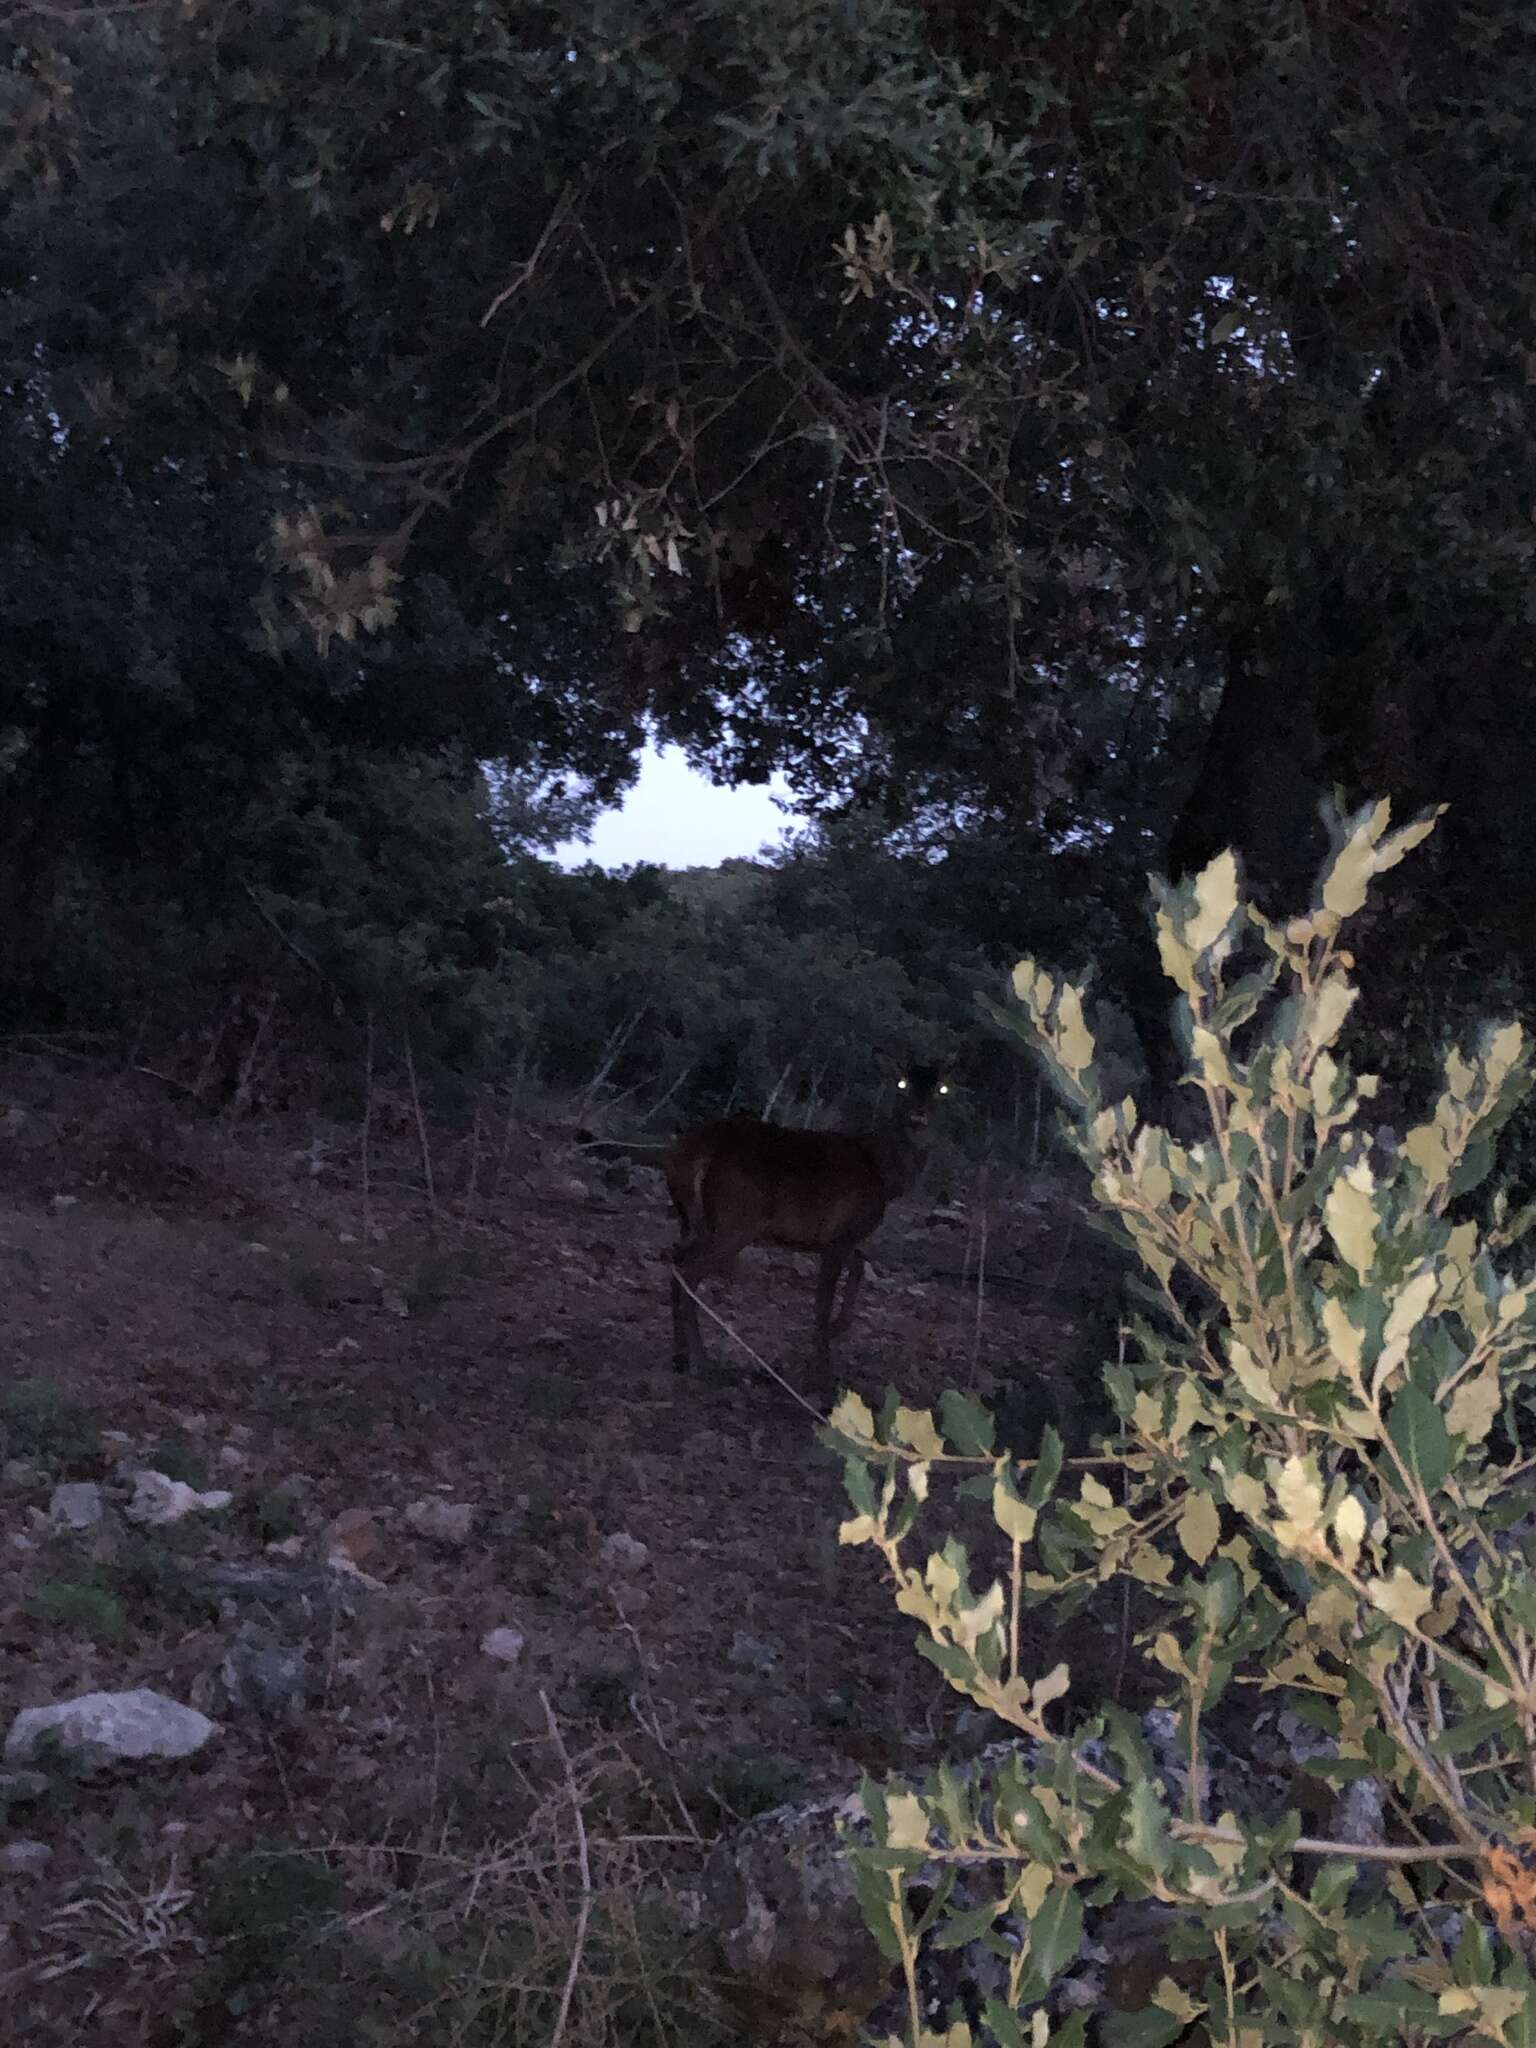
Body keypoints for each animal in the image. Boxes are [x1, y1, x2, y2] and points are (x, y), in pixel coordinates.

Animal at [663, 1064, 946, 1384]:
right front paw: (821, 1375)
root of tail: (687, 1152)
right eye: (902, 1083)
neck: (883, 1176)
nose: (919, 1115)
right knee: (689, 1271)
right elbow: (822, 1302)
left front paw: (836, 1329)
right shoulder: (841, 1232)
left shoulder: (835, 1237)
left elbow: (859, 1265)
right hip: (737, 1220)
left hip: (695, 1221)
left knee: (676, 1260)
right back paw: (703, 1363)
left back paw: (680, 1356)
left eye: (942, 1087)